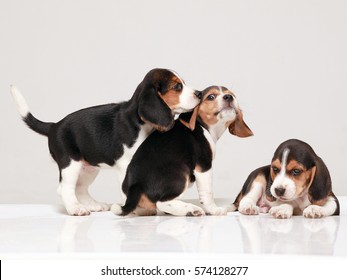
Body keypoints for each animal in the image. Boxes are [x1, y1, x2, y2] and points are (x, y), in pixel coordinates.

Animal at [10, 68, 201, 217]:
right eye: (177, 87)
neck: (140, 122)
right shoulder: (126, 165)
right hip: (70, 163)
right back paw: (76, 209)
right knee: (65, 188)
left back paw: (94, 205)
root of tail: (54, 126)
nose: (199, 93)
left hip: (88, 168)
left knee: (80, 188)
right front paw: (135, 209)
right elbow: (127, 190)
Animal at [113, 85, 254, 217]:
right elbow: (208, 193)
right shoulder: (203, 166)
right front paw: (214, 210)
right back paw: (191, 210)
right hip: (181, 173)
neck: (203, 126)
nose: (229, 97)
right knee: (162, 202)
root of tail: (136, 185)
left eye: (232, 95)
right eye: (211, 97)